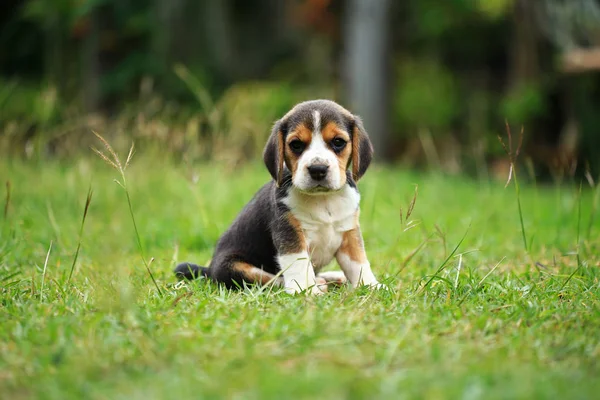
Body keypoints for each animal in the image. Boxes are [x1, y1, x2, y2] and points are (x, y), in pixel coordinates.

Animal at [173, 100, 382, 294]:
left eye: (338, 142)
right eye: (296, 144)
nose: (317, 169)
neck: (323, 199)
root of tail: (209, 270)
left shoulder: (350, 232)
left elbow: (359, 263)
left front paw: (372, 286)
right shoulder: (290, 233)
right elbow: (299, 264)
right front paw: (305, 290)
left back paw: (333, 277)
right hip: (233, 266)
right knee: (268, 281)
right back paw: (315, 284)